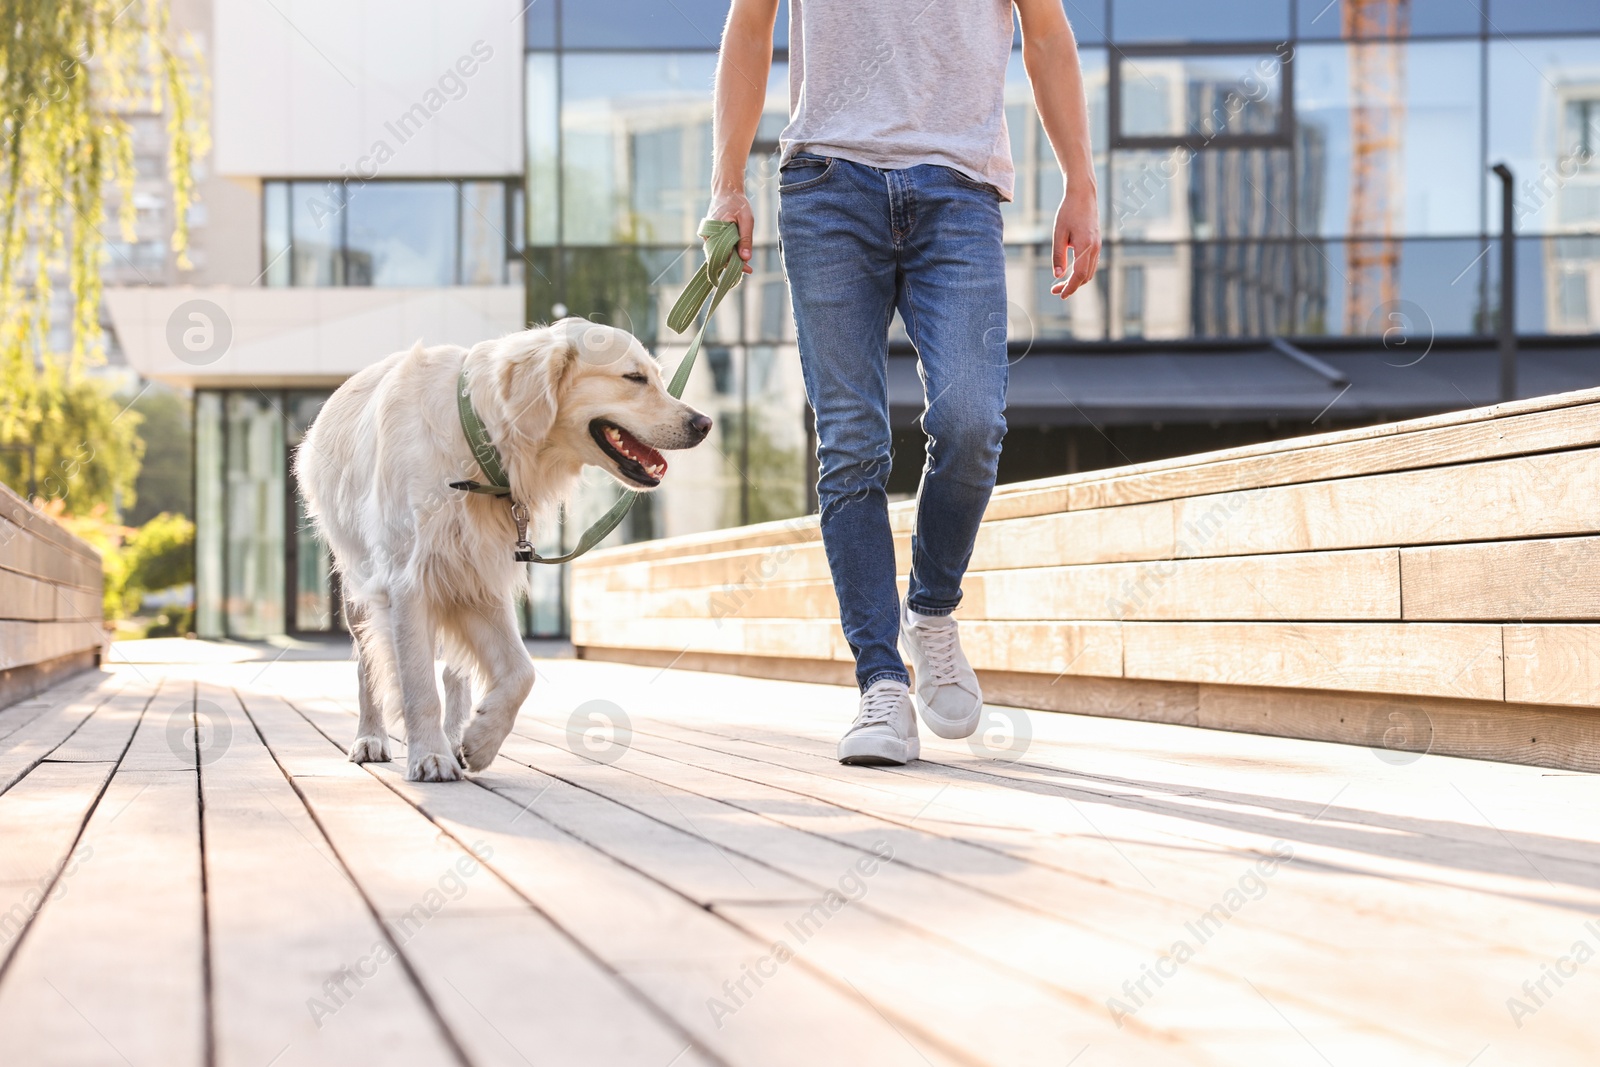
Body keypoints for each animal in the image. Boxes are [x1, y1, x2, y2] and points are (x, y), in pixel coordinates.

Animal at [297, 321, 710, 780]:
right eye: (634, 378)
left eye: (657, 377)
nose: (705, 423)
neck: (479, 441)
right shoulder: (408, 581)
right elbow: (418, 684)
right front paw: (430, 756)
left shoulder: (478, 580)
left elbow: (521, 672)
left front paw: (480, 740)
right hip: (358, 586)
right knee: (368, 662)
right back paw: (371, 737)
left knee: (456, 672)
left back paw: (455, 733)